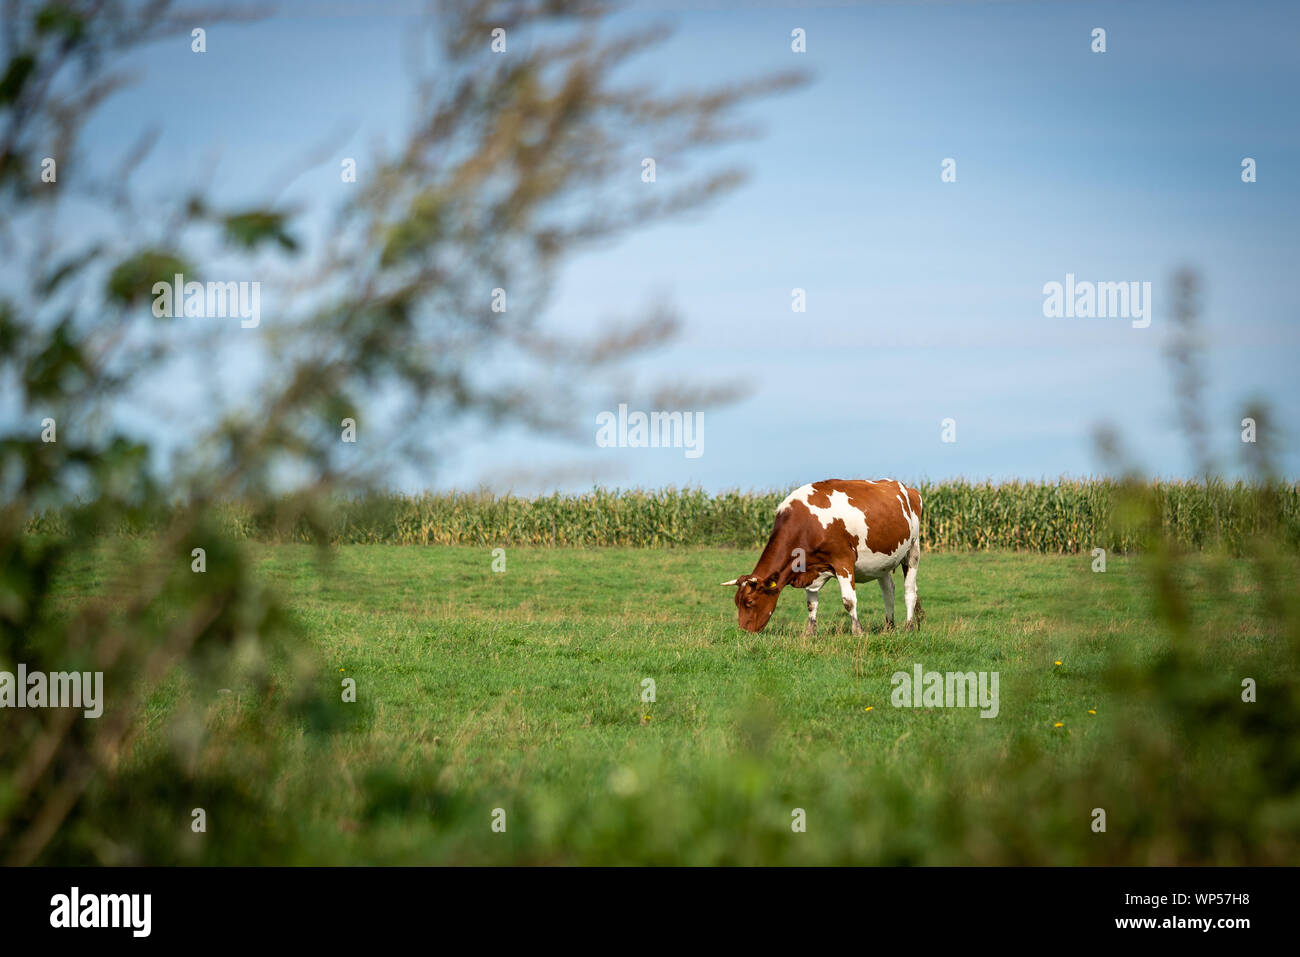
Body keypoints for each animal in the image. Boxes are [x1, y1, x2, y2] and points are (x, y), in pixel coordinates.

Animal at [722, 479, 924, 635]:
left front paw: (858, 631)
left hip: (913, 550)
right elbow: (811, 604)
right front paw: (810, 633)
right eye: (736, 602)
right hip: (882, 562)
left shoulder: (843, 562)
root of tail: (908, 489)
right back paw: (889, 627)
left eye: (750, 602)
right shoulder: (808, 567)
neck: (806, 525)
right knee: (888, 591)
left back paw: (908, 627)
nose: (743, 632)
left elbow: (849, 601)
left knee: (910, 591)